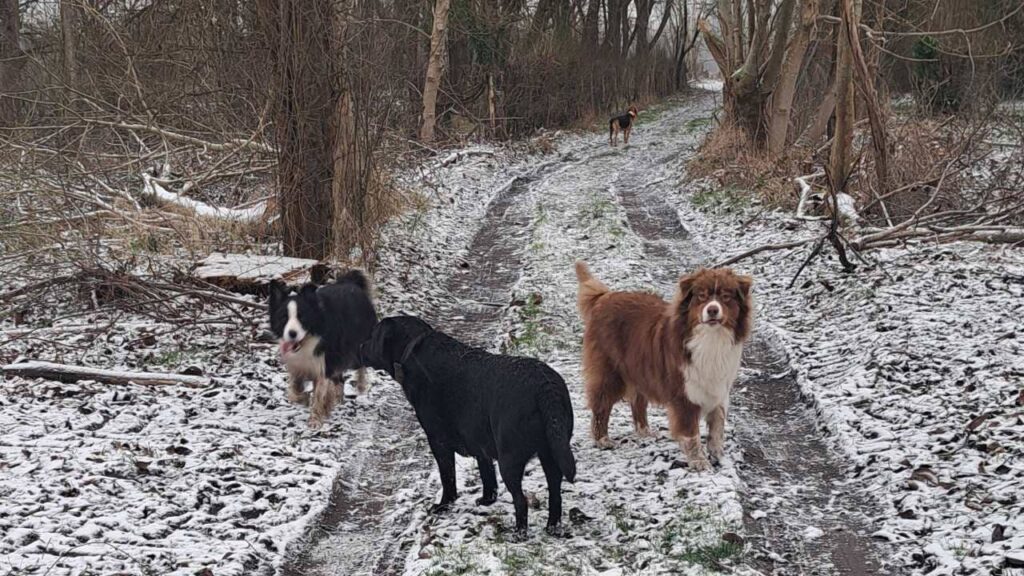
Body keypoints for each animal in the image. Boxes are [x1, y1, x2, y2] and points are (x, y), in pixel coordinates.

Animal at [270, 270, 378, 426]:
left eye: (302, 318)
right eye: (284, 318)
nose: (292, 334)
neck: (308, 340)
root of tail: (350, 283)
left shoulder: (324, 364)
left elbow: (319, 394)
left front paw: (315, 420)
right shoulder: (298, 364)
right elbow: (293, 390)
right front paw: (303, 399)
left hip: (354, 346)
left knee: (361, 364)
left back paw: (361, 385)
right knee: (340, 380)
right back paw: (338, 399)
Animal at [358, 313, 577, 532]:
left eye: (374, 335)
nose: (360, 346)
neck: (411, 353)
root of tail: (545, 386)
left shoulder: (438, 441)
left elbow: (448, 477)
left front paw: (443, 505)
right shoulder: (479, 441)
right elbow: (487, 474)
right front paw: (487, 500)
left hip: (510, 459)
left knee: (521, 500)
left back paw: (518, 532)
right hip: (550, 452)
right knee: (555, 493)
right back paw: (552, 527)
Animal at [577, 260, 753, 467]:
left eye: (726, 297)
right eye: (701, 296)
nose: (712, 310)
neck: (711, 338)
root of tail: (604, 297)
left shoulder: (719, 387)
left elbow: (717, 427)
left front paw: (719, 457)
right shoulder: (684, 392)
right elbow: (691, 432)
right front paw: (699, 463)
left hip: (641, 368)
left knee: (638, 401)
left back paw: (644, 431)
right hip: (609, 371)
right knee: (601, 404)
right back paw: (602, 439)